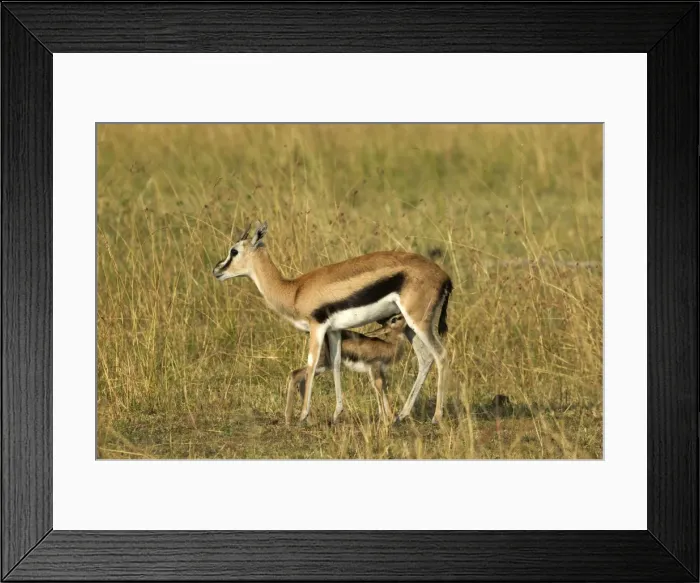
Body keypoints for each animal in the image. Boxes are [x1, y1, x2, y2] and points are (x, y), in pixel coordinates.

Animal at [212, 220, 452, 424]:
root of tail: (445, 276)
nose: (216, 270)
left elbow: (310, 365)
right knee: (425, 359)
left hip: (419, 322)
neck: (294, 290)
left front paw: (303, 415)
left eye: (234, 250)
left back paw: (436, 417)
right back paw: (401, 415)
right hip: (410, 327)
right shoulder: (335, 330)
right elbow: (336, 364)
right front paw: (336, 414)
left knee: (440, 355)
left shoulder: (317, 327)